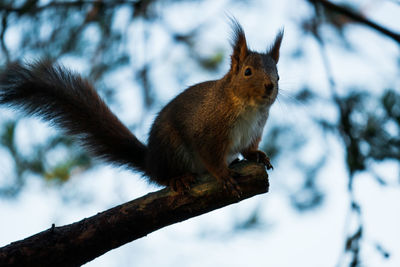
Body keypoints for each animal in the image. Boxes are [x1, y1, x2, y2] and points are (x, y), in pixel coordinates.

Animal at [0, 18, 282, 195]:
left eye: (278, 75)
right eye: (247, 72)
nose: (270, 86)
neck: (248, 107)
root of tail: (149, 161)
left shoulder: (255, 130)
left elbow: (248, 147)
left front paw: (257, 155)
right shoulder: (209, 128)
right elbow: (209, 154)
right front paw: (223, 175)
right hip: (171, 148)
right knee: (163, 177)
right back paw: (177, 178)